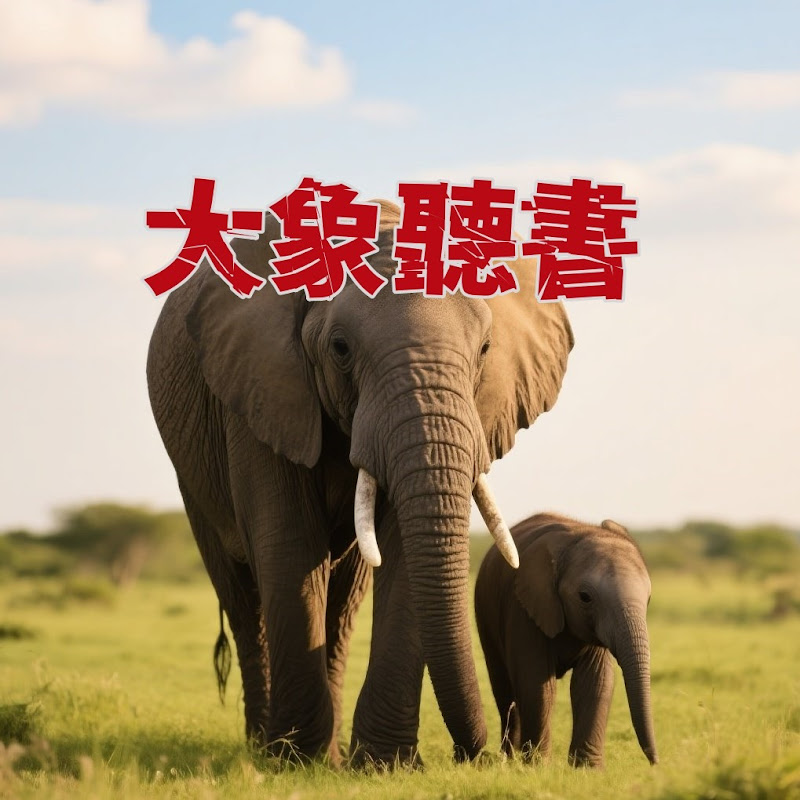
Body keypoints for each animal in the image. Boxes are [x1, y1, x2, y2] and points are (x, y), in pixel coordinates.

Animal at [146, 199, 574, 766]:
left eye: (485, 349)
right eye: (340, 348)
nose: (478, 754)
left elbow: (401, 550)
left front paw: (384, 765)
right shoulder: (261, 390)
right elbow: (289, 543)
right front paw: (294, 762)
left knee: (344, 596)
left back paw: (326, 755)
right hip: (194, 479)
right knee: (242, 598)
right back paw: (269, 749)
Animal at [474, 513, 658, 767]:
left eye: (648, 599)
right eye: (585, 597)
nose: (654, 762)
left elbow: (594, 682)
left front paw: (587, 769)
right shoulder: (523, 607)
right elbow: (537, 684)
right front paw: (537, 766)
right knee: (504, 689)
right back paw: (509, 759)